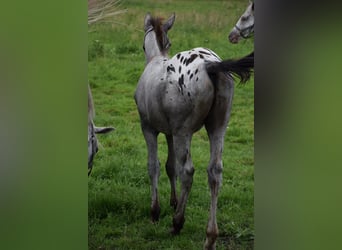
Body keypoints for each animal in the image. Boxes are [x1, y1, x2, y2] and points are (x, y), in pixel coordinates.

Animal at [134, 13, 254, 250]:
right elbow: (170, 166)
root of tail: (210, 65)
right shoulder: (169, 132)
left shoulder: (149, 128)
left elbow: (154, 166)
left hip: (184, 131)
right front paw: (173, 202)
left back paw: (177, 223)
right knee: (214, 171)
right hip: (217, 127)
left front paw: (155, 211)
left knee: (188, 171)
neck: (155, 61)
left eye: (142, 45)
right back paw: (210, 237)